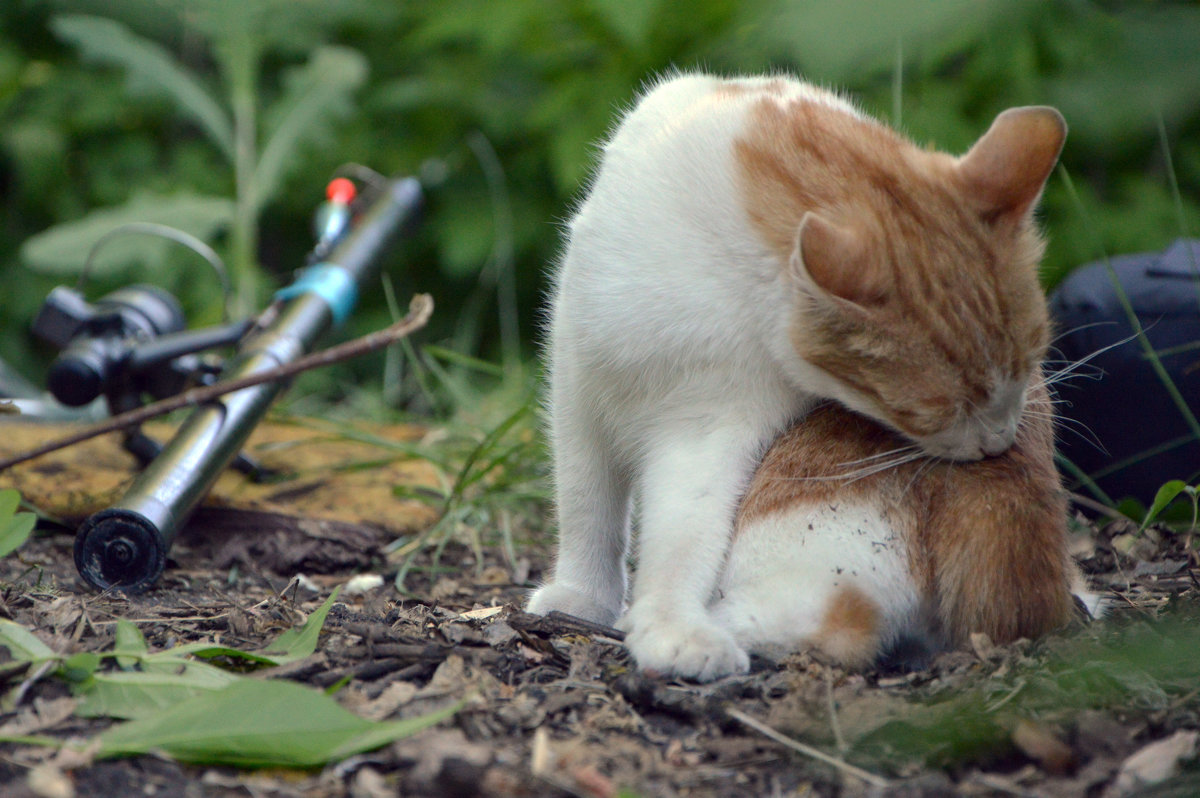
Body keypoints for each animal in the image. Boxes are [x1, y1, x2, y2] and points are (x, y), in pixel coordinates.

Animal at [530, 73, 1075, 676]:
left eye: (1029, 367)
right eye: (925, 413)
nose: (998, 445)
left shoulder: (708, 430)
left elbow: (682, 536)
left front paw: (670, 625)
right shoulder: (577, 384)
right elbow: (587, 507)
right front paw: (580, 595)